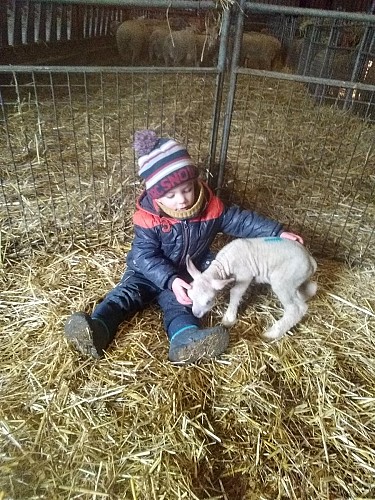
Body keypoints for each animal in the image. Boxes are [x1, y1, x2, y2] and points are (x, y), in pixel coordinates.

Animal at [187, 237, 318, 340]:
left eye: (208, 301)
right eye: (190, 296)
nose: (195, 314)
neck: (223, 264)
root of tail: (310, 260)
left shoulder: (245, 274)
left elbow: (235, 292)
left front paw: (229, 318)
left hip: (283, 282)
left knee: (295, 308)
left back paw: (272, 333)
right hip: (296, 280)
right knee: (310, 289)